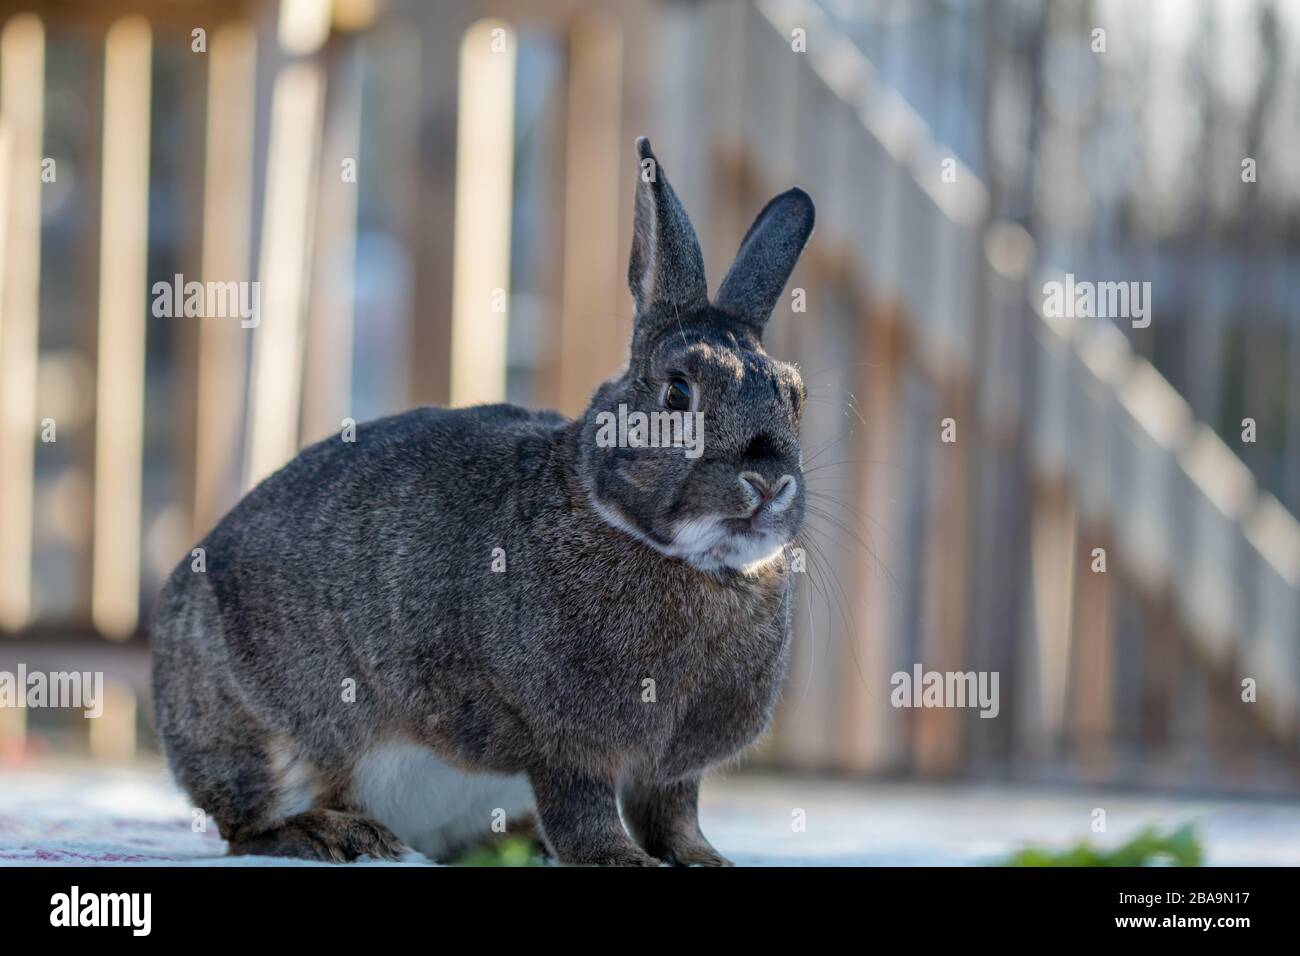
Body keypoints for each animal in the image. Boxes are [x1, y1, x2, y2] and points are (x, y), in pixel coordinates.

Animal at [151, 137, 814, 866]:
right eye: (677, 393)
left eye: (796, 396)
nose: (768, 482)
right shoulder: (563, 747)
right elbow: (586, 810)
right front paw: (619, 860)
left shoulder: (669, 771)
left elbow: (674, 814)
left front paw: (704, 860)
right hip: (261, 730)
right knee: (246, 824)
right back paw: (340, 833)